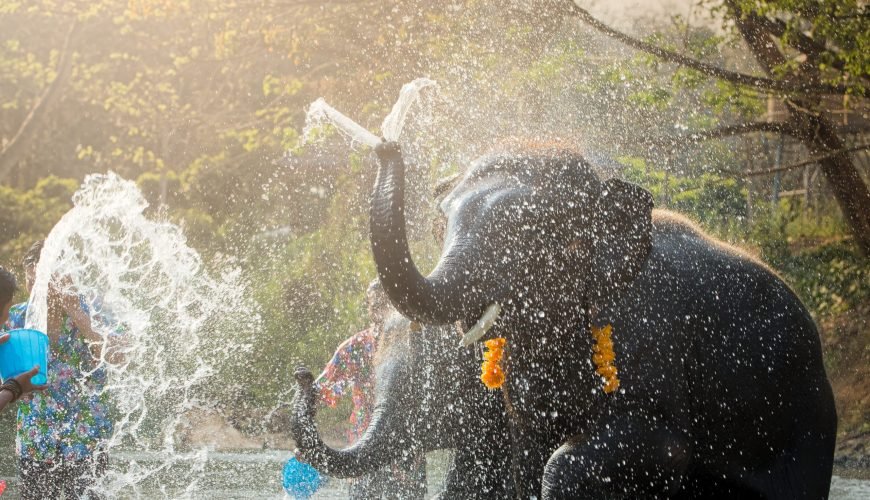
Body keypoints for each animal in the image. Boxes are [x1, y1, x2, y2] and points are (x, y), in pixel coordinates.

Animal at [372, 142, 840, 500]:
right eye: (441, 220)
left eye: (530, 226)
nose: (386, 147)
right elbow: (525, 456)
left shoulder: (650, 337)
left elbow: (663, 449)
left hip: (803, 416)